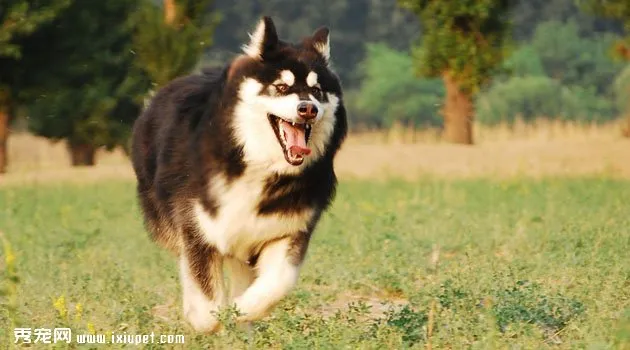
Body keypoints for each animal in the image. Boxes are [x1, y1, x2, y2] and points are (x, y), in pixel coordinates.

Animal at [132, 17, 350, 334]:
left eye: (318, 90)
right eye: (281, 86)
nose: (308, 109)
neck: (257, 163)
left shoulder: (286, 229)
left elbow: (277, 283)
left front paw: (242, 312)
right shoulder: (198, 227)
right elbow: (205, 299)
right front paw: (208, 320)